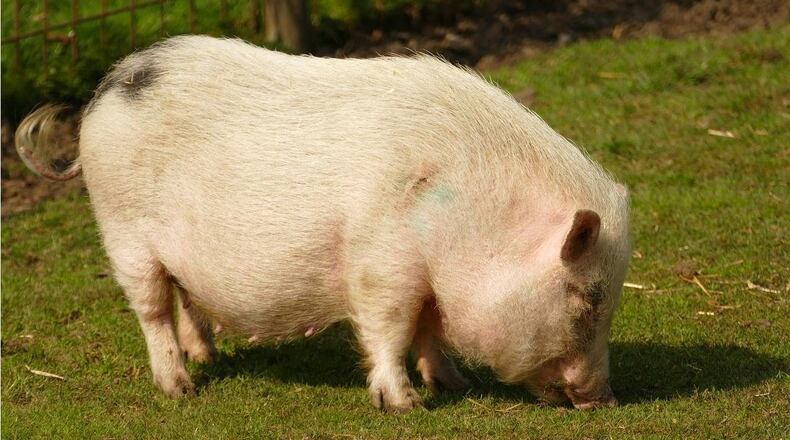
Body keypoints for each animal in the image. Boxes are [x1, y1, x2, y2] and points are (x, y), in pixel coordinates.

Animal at [16, 35, 630, 411]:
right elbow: (390, 328)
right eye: (589, 299)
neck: (468, 218)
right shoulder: (382, 262)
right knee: (151, 310)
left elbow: (429, 330)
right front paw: (404, 405)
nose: (604, 399)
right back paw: (181, 389)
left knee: (186, 298)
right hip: (123, 231)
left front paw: (457, 383)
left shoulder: (428, 280)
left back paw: (207, 358)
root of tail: (108, 88)